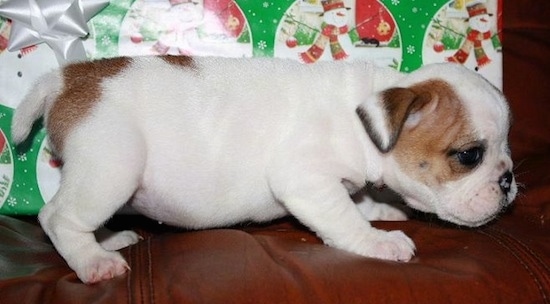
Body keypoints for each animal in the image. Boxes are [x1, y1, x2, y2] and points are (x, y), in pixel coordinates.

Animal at [10, 55, 516, 284]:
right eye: (469, 156)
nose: (509, 179)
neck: (365, 116)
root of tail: (67, 78)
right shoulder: (307, 181)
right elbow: (344, 218)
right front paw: (378, 241)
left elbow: (359, 199)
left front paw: (382, 210)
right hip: (112, 168)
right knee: (58, 217)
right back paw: (93, 260)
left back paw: (109, 239)